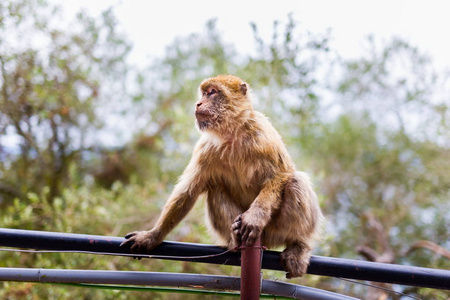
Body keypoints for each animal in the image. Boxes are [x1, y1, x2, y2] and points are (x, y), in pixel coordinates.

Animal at [120, 75, 324, 278]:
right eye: (203, 93)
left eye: (212, 92)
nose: (198, 103)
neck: (233, 133)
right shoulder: (205, 148)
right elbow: (188, 191)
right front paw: (152, 236)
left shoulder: (264, 135)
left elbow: (280, 176)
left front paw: (255, 216)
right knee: (215, 188)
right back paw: (234, 239)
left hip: (275, 231)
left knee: (296, 181)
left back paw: (298, 244)